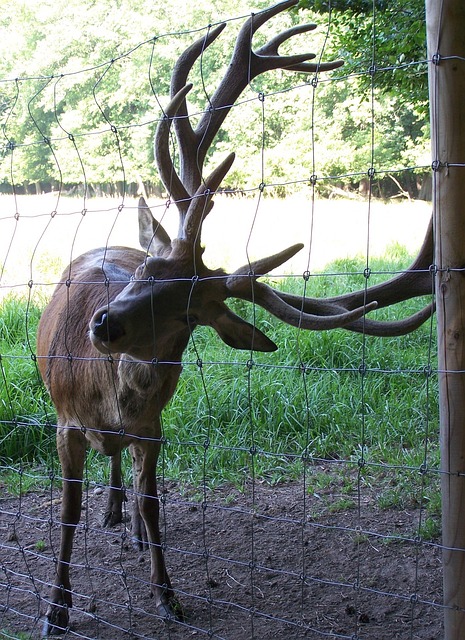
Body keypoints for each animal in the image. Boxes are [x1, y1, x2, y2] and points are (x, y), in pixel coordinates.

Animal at [37, 0, 436, 632]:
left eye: (186, 313)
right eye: (147, 270)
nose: (104, 325)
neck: (110, 404)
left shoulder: (154, 427)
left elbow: (155, 504)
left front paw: (168, 594)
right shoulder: (64, 423)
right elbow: (67, 513)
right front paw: (56, 608)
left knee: (125, 474)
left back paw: (127, 520)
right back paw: (110, 511)